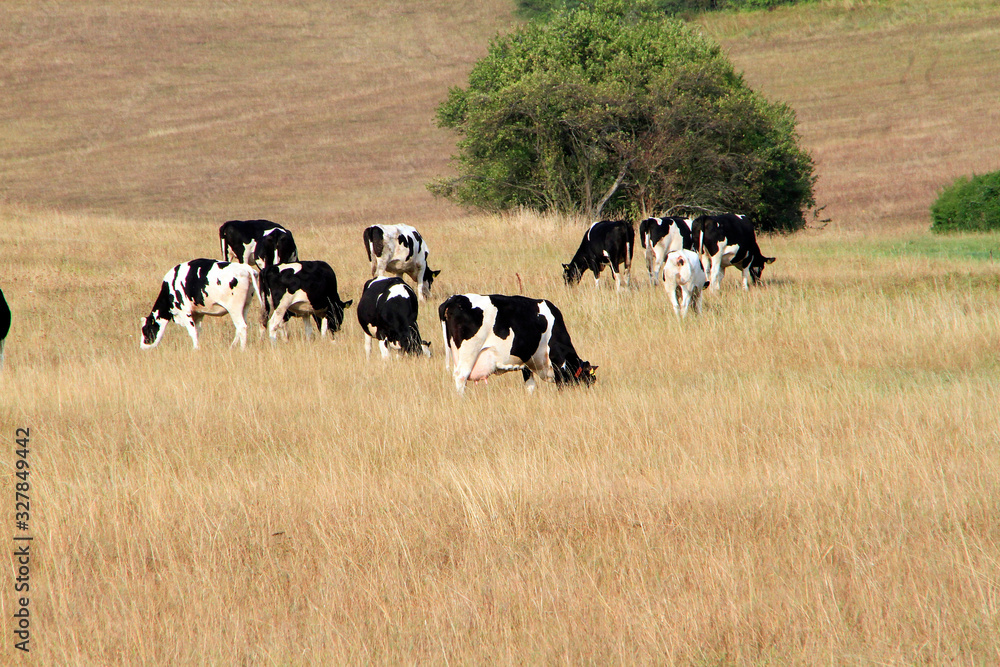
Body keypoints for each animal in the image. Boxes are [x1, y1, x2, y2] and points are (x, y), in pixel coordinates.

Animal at [439, 293, 597, 395]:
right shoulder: (558, 362)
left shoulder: (526, 361)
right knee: (461, 377)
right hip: (469, 352)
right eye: (589, 380)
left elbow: (530, 385)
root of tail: (454, 298)